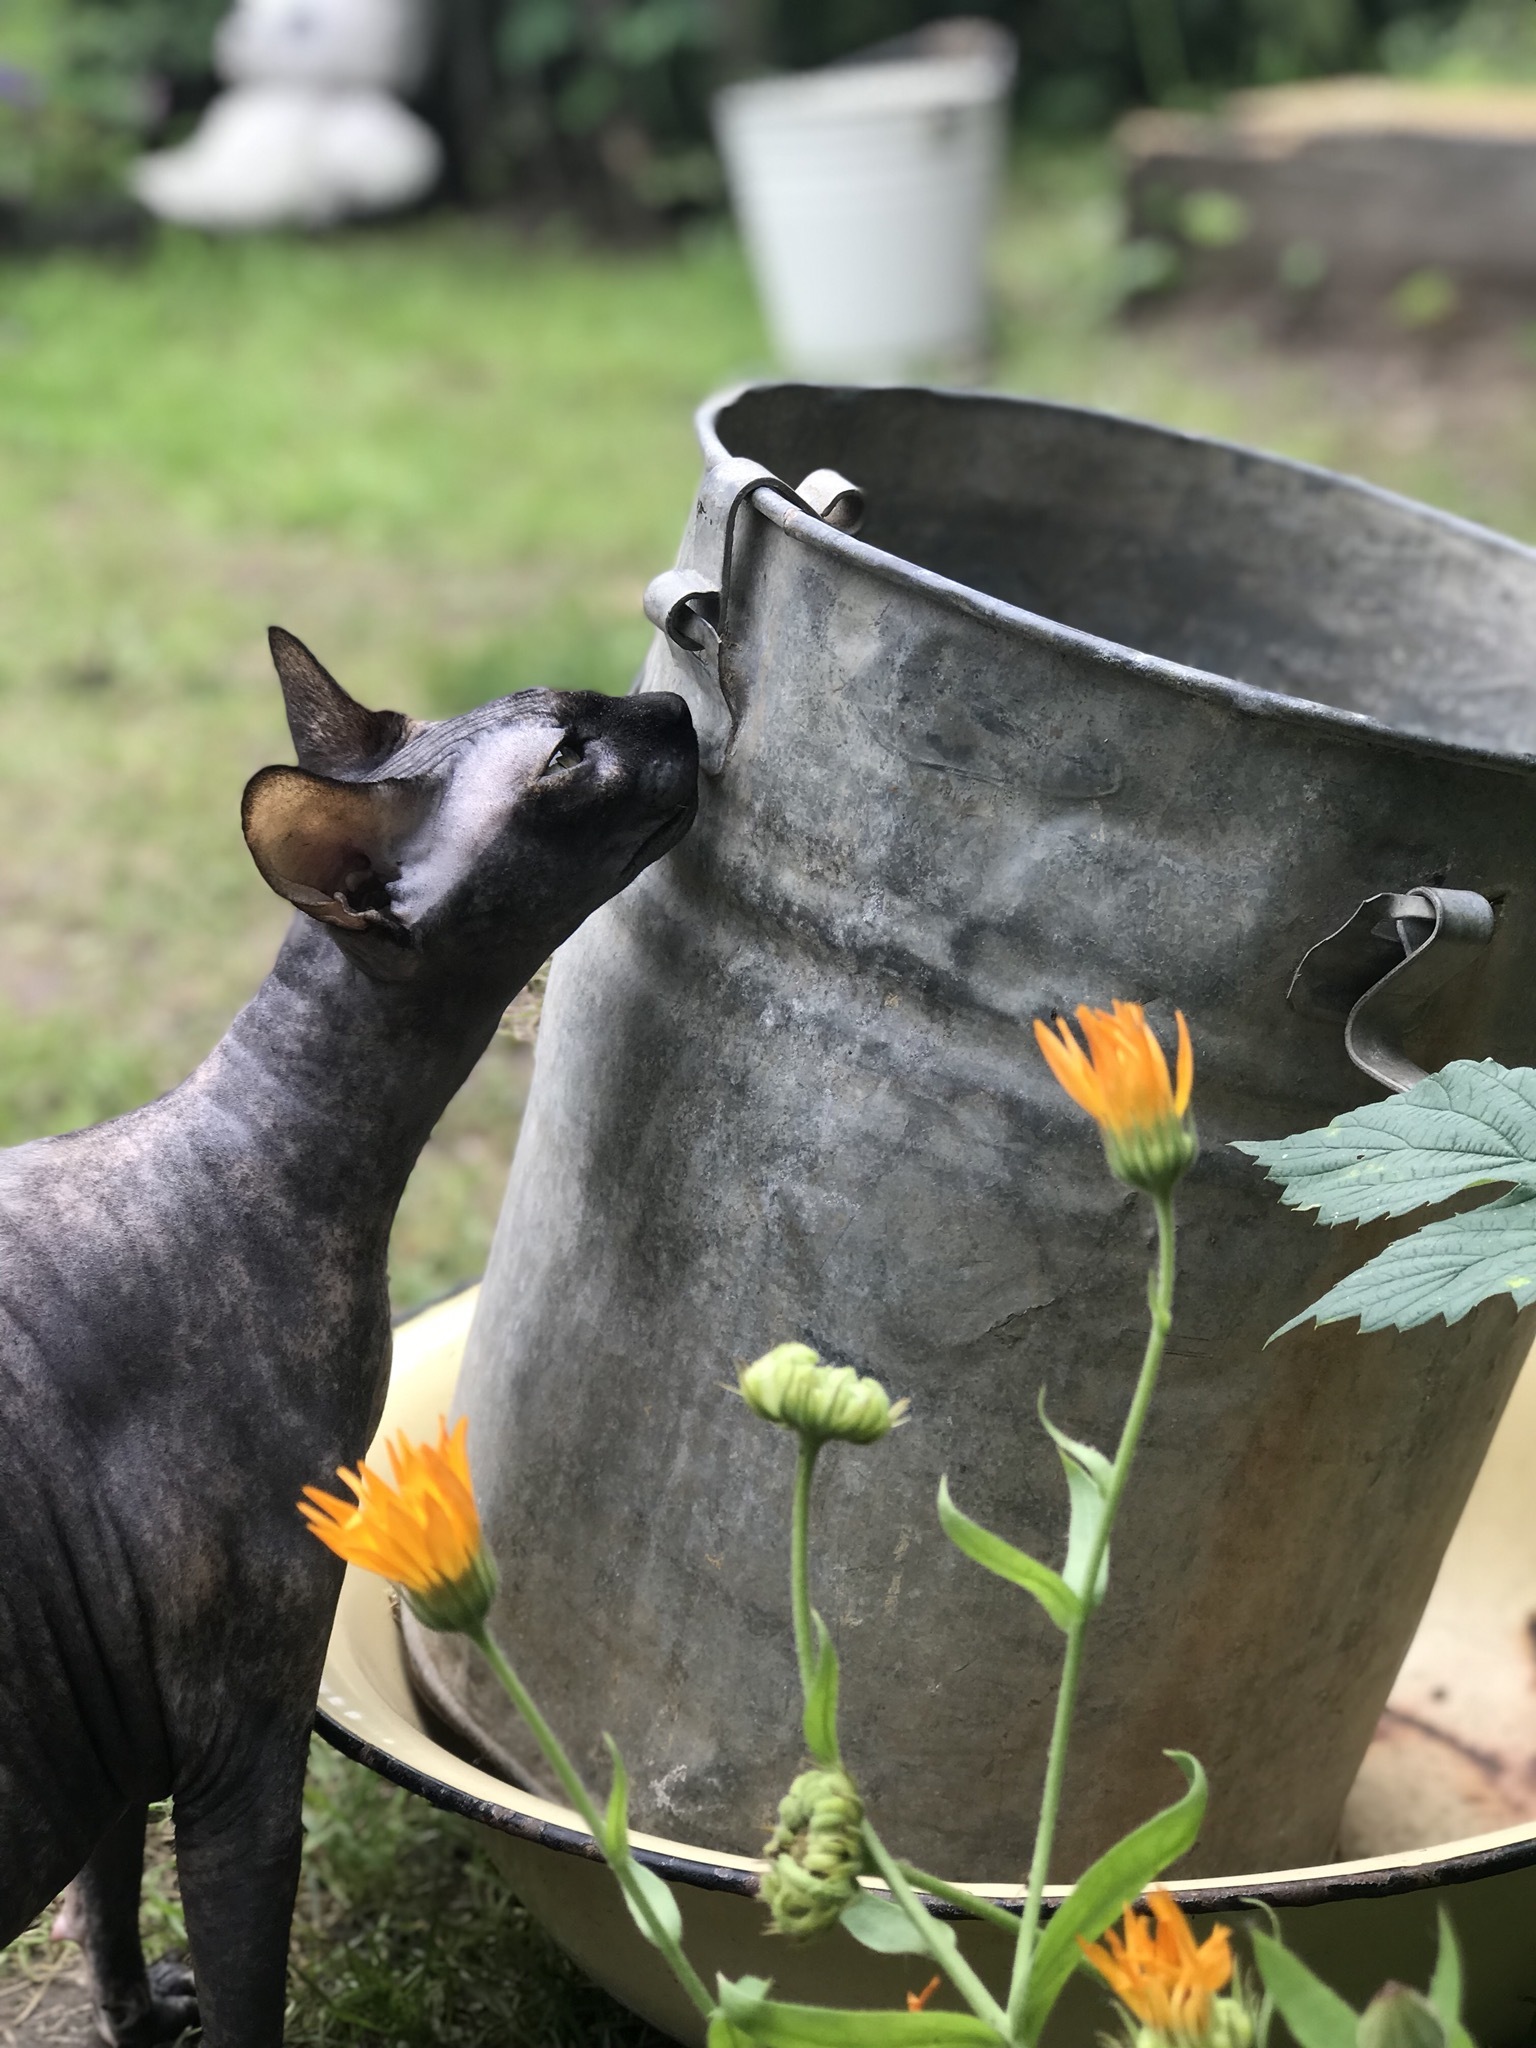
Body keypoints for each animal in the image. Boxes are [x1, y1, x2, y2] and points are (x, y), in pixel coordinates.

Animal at [0, 626, 696, 2048]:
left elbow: (106, 1881)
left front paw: (137, 2015)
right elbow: (243, 1972)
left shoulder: (114, 1703)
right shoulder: (242, 1752)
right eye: (564, 758)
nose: (682, 714)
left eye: (586, 709)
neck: (262, 1143)